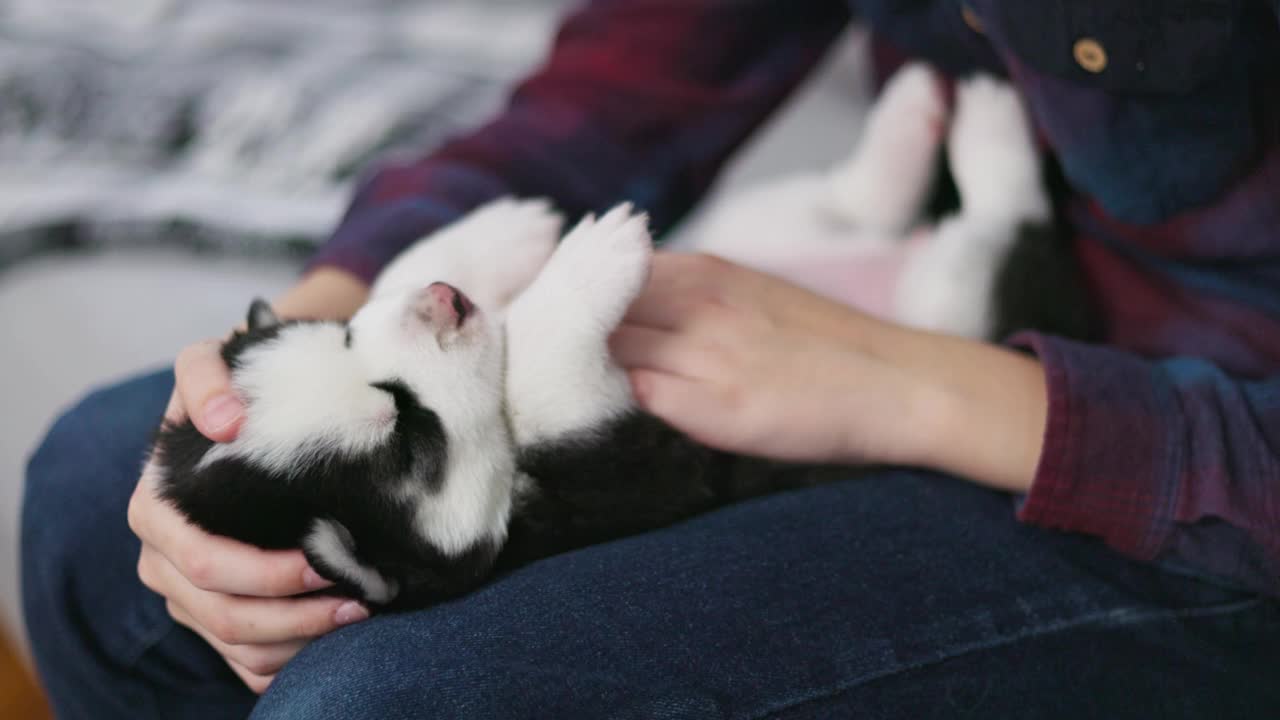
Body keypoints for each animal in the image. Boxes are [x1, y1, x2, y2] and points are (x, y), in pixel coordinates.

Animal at [147, 65, 1090, 604]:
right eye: (409, 437)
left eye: (346, 344)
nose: (448, 304)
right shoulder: (632, 466)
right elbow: (537, 370)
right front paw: (586, 254)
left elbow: (395, 276)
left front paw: (501, 233)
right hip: (958, 300)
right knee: (1005, 228)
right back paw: (988, 122)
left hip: (757, 224)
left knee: (859, 204)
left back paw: (922, 110)